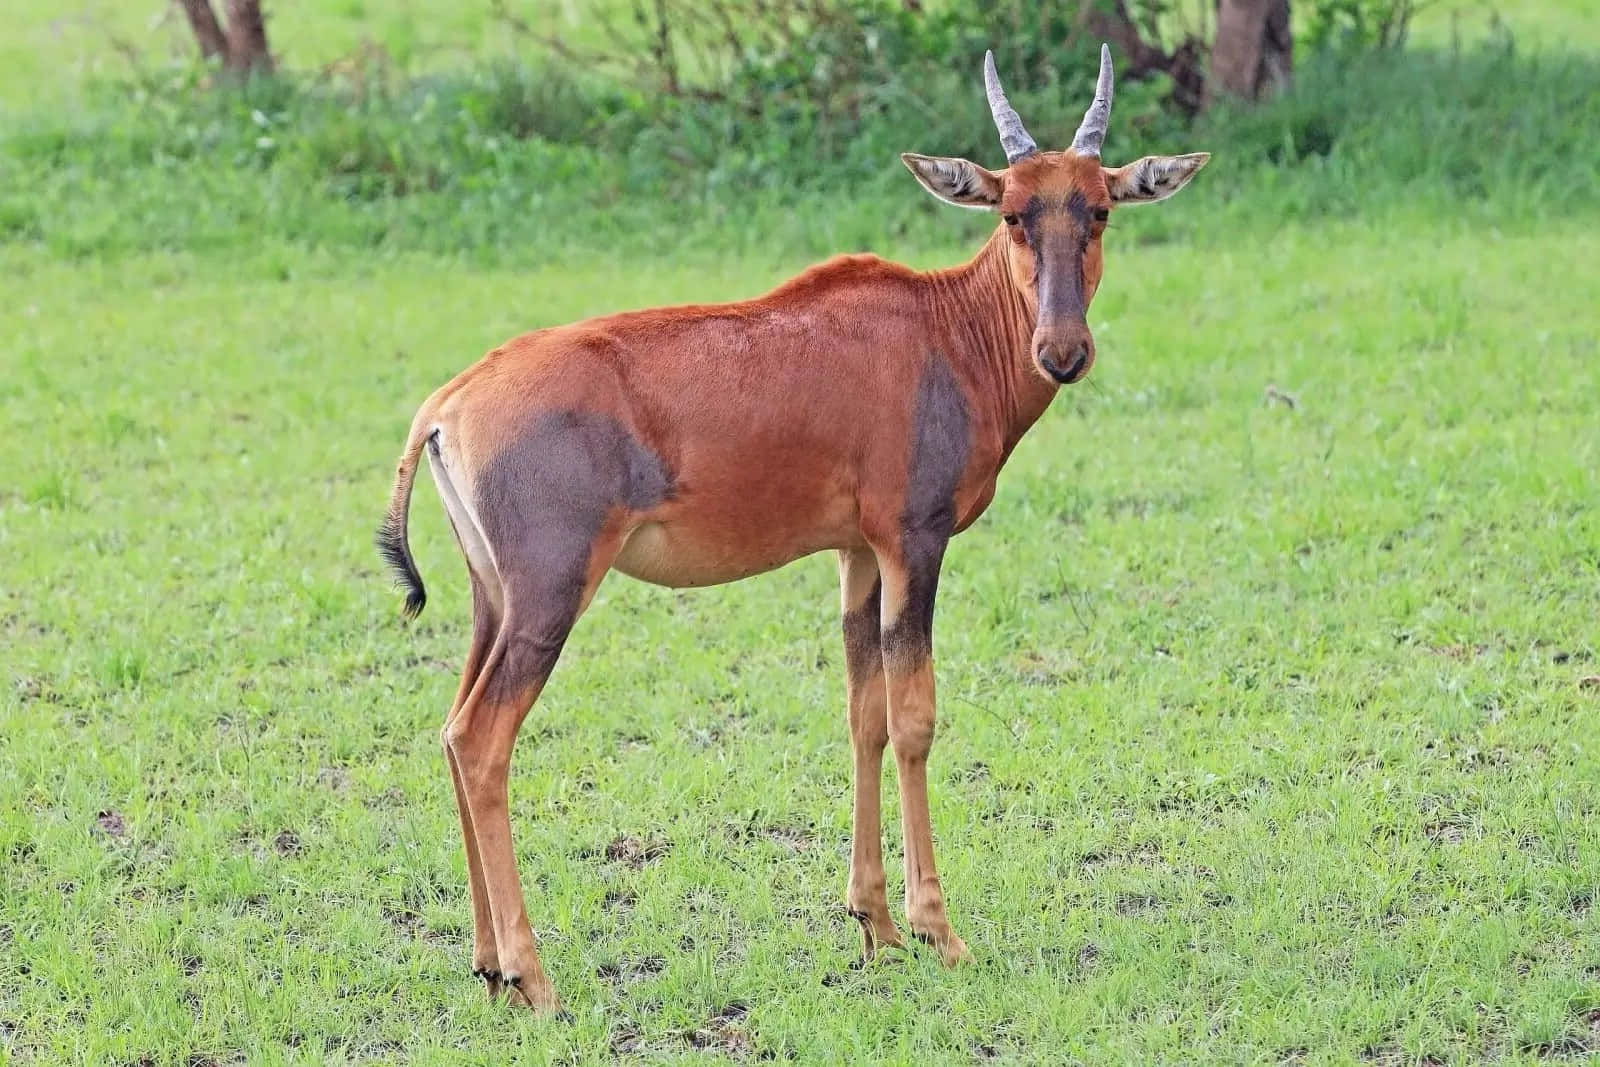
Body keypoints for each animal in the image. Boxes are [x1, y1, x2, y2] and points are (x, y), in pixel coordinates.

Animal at [374, 43, 1203, 1011]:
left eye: (1099, 208)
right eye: (1011, 214)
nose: (1062, 353)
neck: (938, 329)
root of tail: (449, 402)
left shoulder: (857, 553)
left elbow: (863, 714)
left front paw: (876, 927)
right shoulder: (914, 543)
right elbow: (916, 717)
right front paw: (939, 932)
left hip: (492, 601)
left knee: (448, 727)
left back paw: (486, 964)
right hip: (549, 594)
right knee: (481, 740)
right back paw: (533, 975)